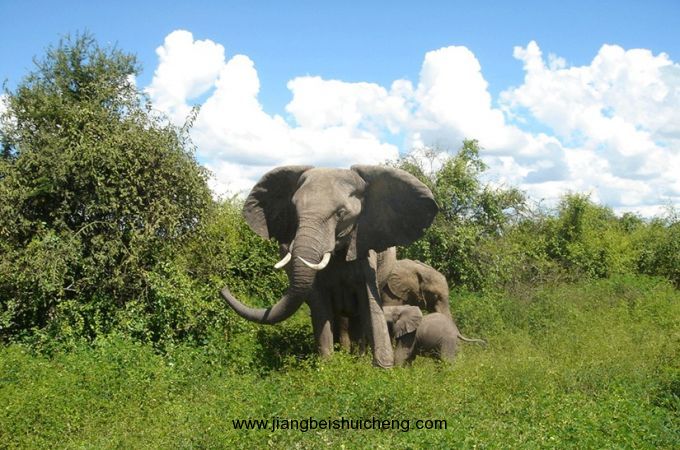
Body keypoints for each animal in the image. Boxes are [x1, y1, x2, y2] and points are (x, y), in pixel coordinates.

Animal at [220, 165, 438, 368]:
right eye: (294, 211)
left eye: (341, 213)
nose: (222, 288)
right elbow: (320, 305)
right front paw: (327, 366)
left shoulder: (364, 247)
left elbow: (370, 301)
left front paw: (382, 369)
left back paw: (357, 357)